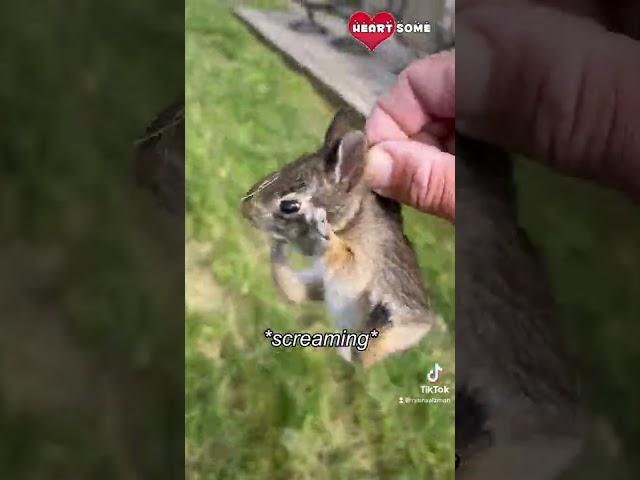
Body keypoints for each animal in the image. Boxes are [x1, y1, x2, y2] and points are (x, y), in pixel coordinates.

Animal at [240, 109, 436, 366]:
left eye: (290, 206)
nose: (246, 209)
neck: (351, 219)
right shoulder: (320, 281)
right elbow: (293, 289)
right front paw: (278, 248)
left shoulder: (361, 262)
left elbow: (345, 258)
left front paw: (323, 233)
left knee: (366, 357)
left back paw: (379, 319)